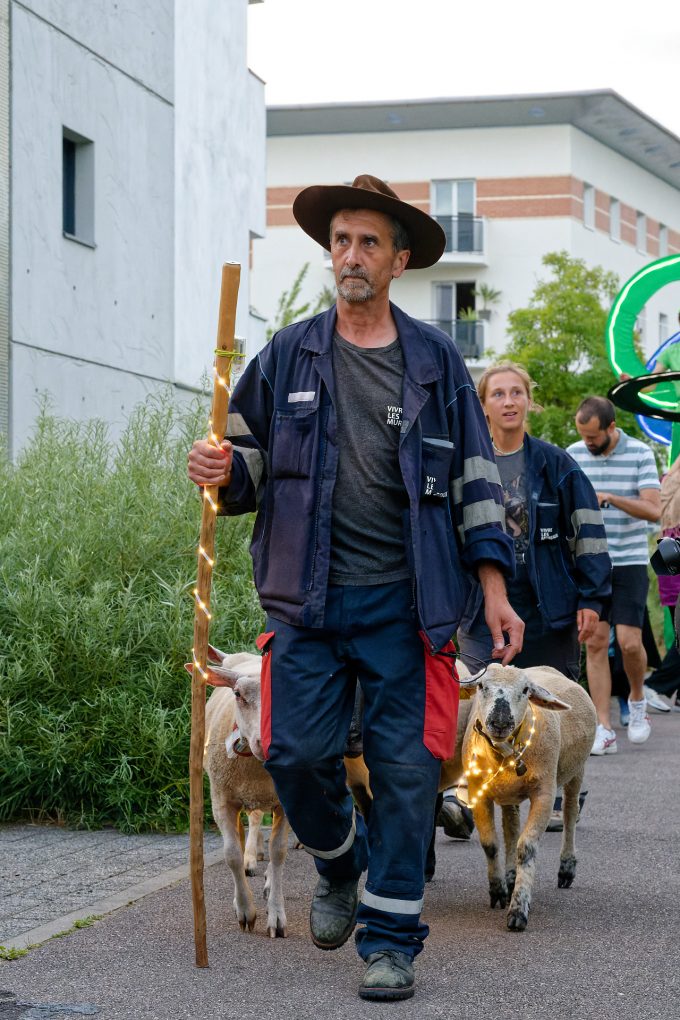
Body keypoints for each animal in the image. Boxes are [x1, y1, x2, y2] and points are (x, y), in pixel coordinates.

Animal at [460, 660, 599, 934]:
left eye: (525, 690)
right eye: (481, 685)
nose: (500, 722)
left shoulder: (544, 794)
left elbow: (526, 848)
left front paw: (518, 910)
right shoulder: (477, 792)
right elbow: (491, 844)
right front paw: (499, 891)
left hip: (576, 770)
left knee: (570, 813)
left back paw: (566, 868)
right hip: (509, 794)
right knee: (511, 827)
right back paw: (511, 877)